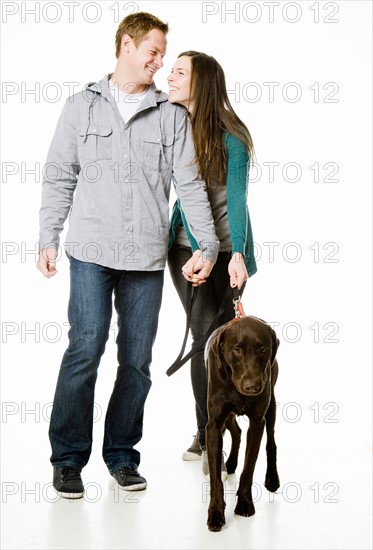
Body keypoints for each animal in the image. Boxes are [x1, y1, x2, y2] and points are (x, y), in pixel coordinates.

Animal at [203, 316, 280, 532]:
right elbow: (215, 478)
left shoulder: (257, 422)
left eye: (263, 349)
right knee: (236, 431)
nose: (252, 387)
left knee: (271, 442)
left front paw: (245, 503)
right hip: (228, 416)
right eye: (236, 349)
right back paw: (230, 463)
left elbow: (249, 468)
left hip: (271, 407)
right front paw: (216, 513)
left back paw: (272, 478)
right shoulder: (213, 425)